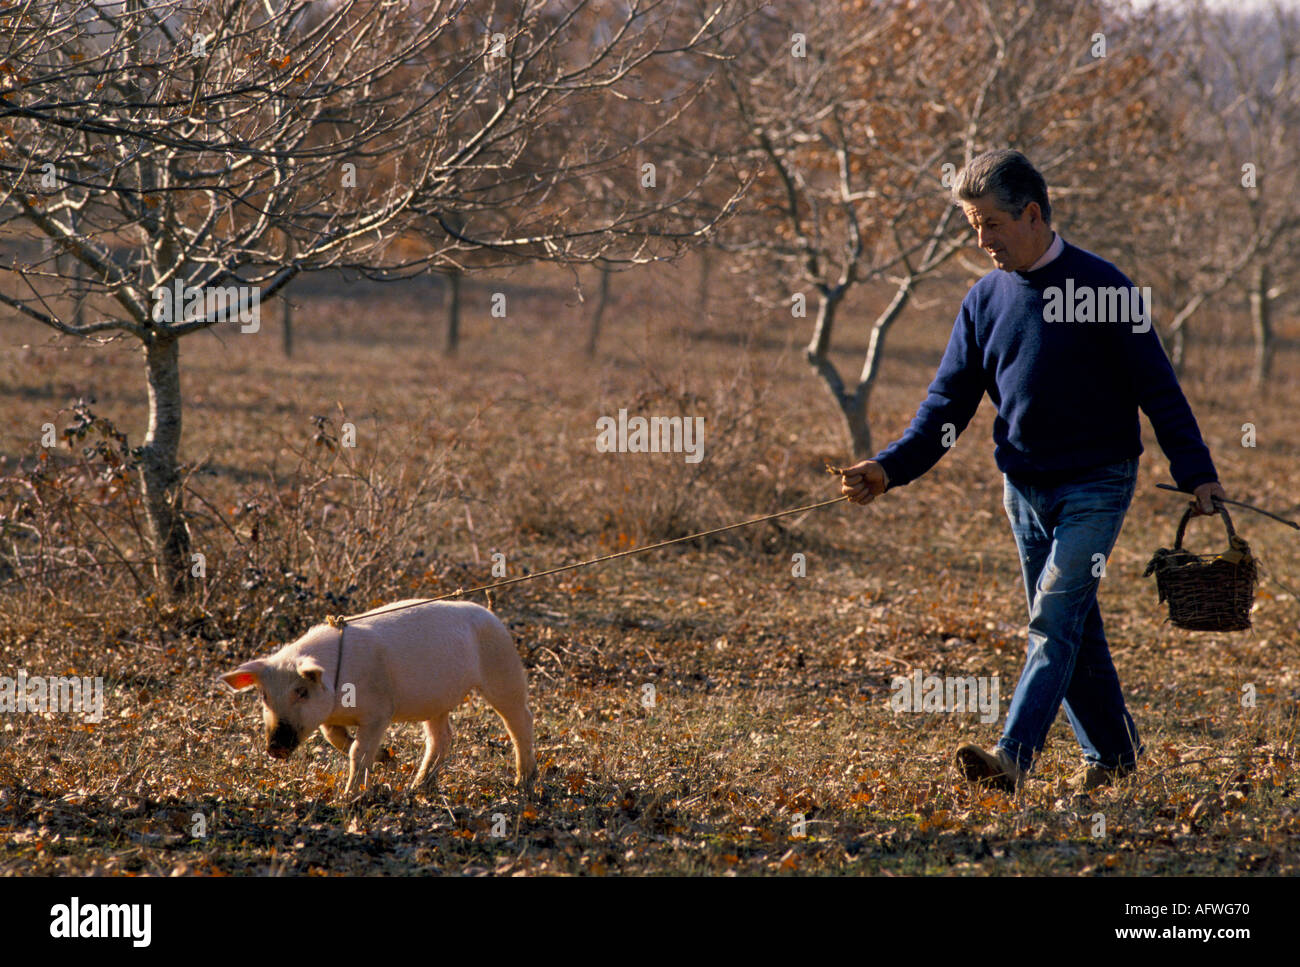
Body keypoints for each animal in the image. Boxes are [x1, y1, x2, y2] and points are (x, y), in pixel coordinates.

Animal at [219, 599, 536, 796]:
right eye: (264, 695)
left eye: (301, 691)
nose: (274, 747)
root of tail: (492, 615)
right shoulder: (329, 718)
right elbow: (336, 739)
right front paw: (388, 758)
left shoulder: (380, 711)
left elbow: (358, 752)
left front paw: (349, 796)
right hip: (437, 702)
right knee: (442, 738)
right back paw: (416, 787)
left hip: (503, 669)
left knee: (520, 721)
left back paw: (523, 783)